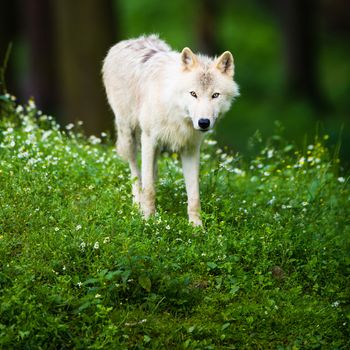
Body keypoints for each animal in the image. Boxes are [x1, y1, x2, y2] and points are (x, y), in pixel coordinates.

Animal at [101, 34, 238, 226]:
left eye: (215, 95)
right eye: (193, 94)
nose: (204, 122)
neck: (176, 112)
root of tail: (131, 40)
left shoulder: (190, 149)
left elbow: (194, 196)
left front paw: (197, 227)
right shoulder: (149, 140)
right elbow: (148, 188)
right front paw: (148, 220)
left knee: (152, 173)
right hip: (130, 136)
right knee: (136, 174)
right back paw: (137, 205)